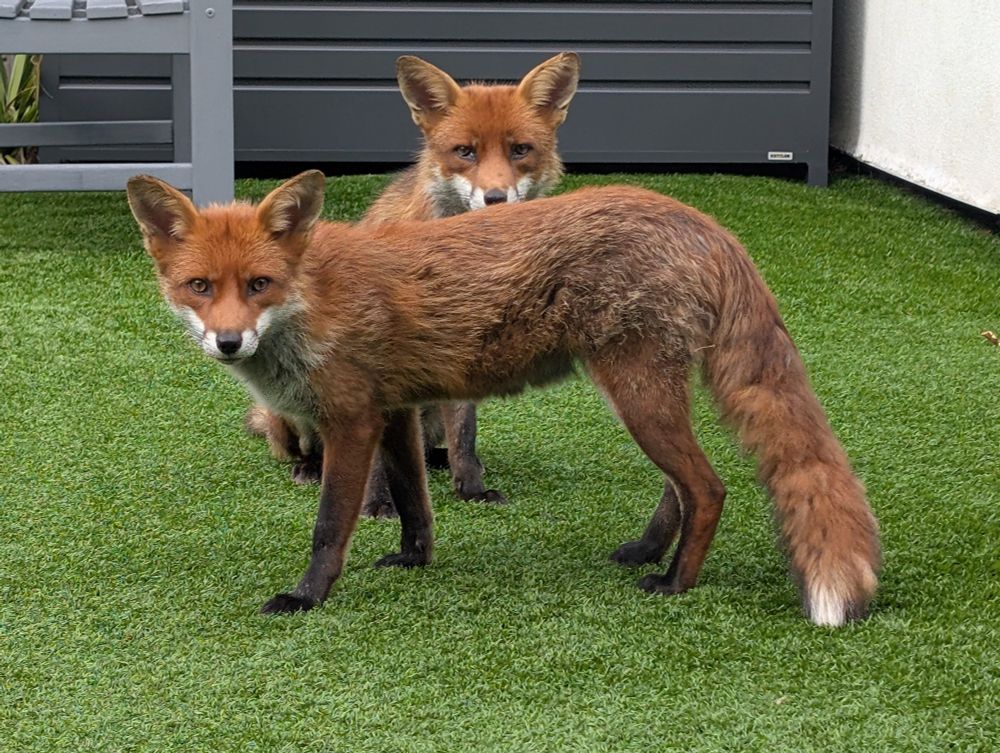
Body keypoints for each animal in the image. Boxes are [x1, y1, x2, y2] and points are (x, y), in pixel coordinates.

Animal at [126, 170, 881, 627]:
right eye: (199, 286)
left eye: (258, 284)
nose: (228, 342)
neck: (312, 301)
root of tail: (706, 223)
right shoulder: (397, 411)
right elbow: (414, 503)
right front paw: (412, 560)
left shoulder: (352, 418)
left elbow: (329, 527)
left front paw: (307, 596)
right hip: (646, 395)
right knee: (684, 487)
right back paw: (646, 551)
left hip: (637, 393)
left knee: (710, 487)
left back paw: (675, 584)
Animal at [246, 52, 581, 518]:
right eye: (465, 151)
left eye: (520, 150)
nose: (495, 199)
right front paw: (376, 504)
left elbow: (465, 436)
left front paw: (471, 488)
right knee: (305, 446)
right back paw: (311, 467)